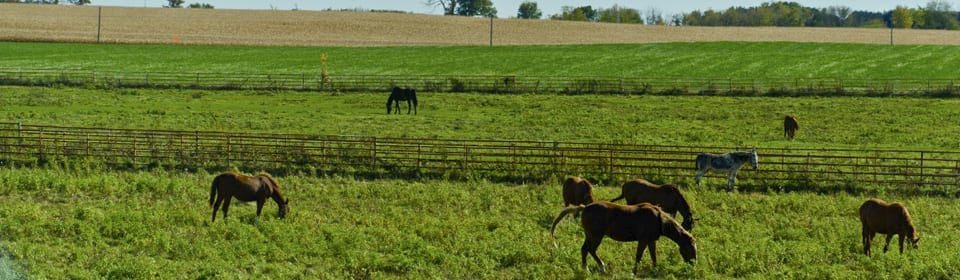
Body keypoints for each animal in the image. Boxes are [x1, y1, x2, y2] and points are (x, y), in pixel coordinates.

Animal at [548, 200, 696, 274]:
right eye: (690, 248)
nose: (694, 264)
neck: (658, 219)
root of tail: (584, 208)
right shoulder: (643, 240)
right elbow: (639, 256)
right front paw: (634, 272)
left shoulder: (651, 241)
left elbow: (653, 256)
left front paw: (655, 269)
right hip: (596, 236)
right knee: (589, 249)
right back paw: (594, 268)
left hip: (590, 235)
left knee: (586, 249)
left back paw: (591, 268)